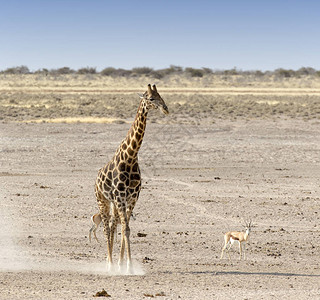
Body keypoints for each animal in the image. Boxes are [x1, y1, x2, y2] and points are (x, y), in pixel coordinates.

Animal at [95, 83, 170, 274]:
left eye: (161, 96)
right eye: (151, 98)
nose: (166, 109)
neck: (130, 157)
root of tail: (95, 180)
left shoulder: (132, 198)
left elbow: (126, 229)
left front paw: (124, 265)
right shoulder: (121, 197)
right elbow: (125, 229)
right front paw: (125, 266)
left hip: (114, 203)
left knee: (113, 225)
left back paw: (113, 262)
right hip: (103, 201)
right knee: (106, 228)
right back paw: (108, 264)